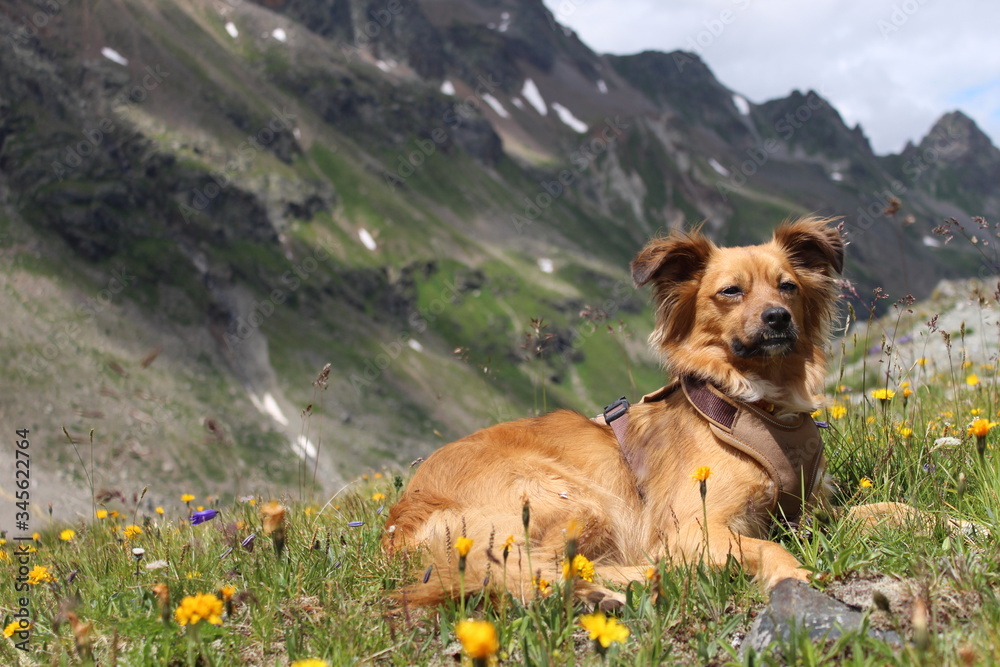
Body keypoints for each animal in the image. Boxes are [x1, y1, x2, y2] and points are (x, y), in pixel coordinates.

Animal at [382, 218, 844, 604]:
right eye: (731, 291)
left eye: (788, 287)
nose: (778, 318)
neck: (754, 405)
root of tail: (400, 522)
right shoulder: (693, 527)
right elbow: (767, 545)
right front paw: (796, 573)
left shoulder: (811, 507)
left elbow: (855, 511)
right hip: (574, 498)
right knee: (538, 568)